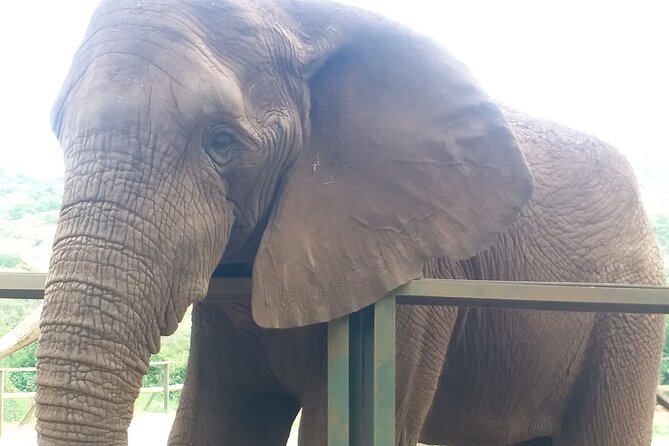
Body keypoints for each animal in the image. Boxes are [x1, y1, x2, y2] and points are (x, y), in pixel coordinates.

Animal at [32, 0, 664, 444]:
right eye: (59, 131)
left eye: (222, 143)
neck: (301, 23)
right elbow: (218, 425)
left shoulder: (415, 281)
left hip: (627, 320)